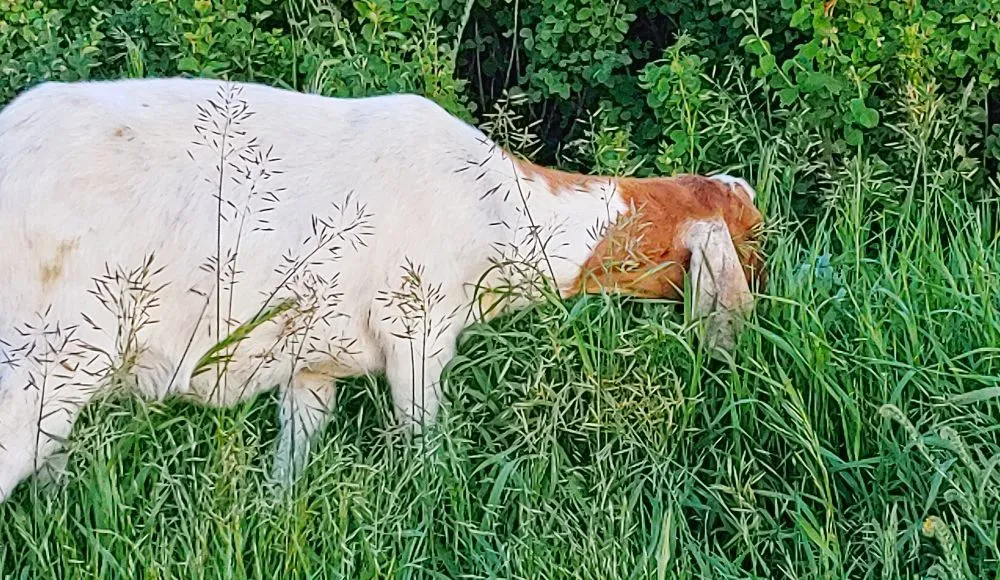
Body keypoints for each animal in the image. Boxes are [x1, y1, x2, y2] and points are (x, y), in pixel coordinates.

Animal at [0, 78, 766, 502]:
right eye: (750, 241)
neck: (499, 208)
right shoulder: (417, 332)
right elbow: (426, 450)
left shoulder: (310, 364)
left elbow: (290, 467)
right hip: (44, 357)